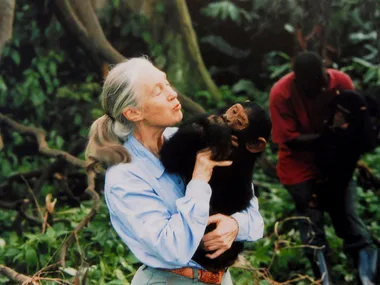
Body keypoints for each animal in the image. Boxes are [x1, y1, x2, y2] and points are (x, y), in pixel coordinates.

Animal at [159, 100, 272, 270]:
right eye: (234, 111)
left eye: (240, 122)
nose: (226, 118)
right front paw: (217, 124)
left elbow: (170, 158)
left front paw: (216, 128)